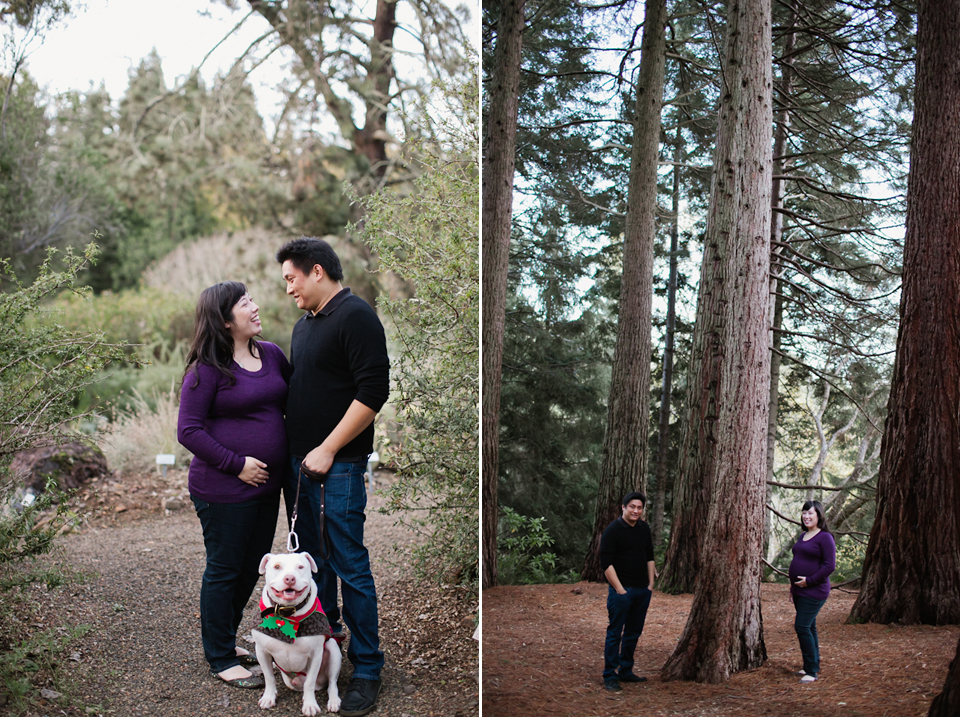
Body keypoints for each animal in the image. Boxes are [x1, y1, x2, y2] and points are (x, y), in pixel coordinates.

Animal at [251, 552, 342, 712]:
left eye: (300, 567)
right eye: (277, 567)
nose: (289, 578)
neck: (287, 613)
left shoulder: (316, 654)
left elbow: (310, 682)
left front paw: (310, 705)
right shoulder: (262, 651)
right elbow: (269, 677)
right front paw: (268, 697)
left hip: (333, 648)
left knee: (332, 683)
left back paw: (333, 701)